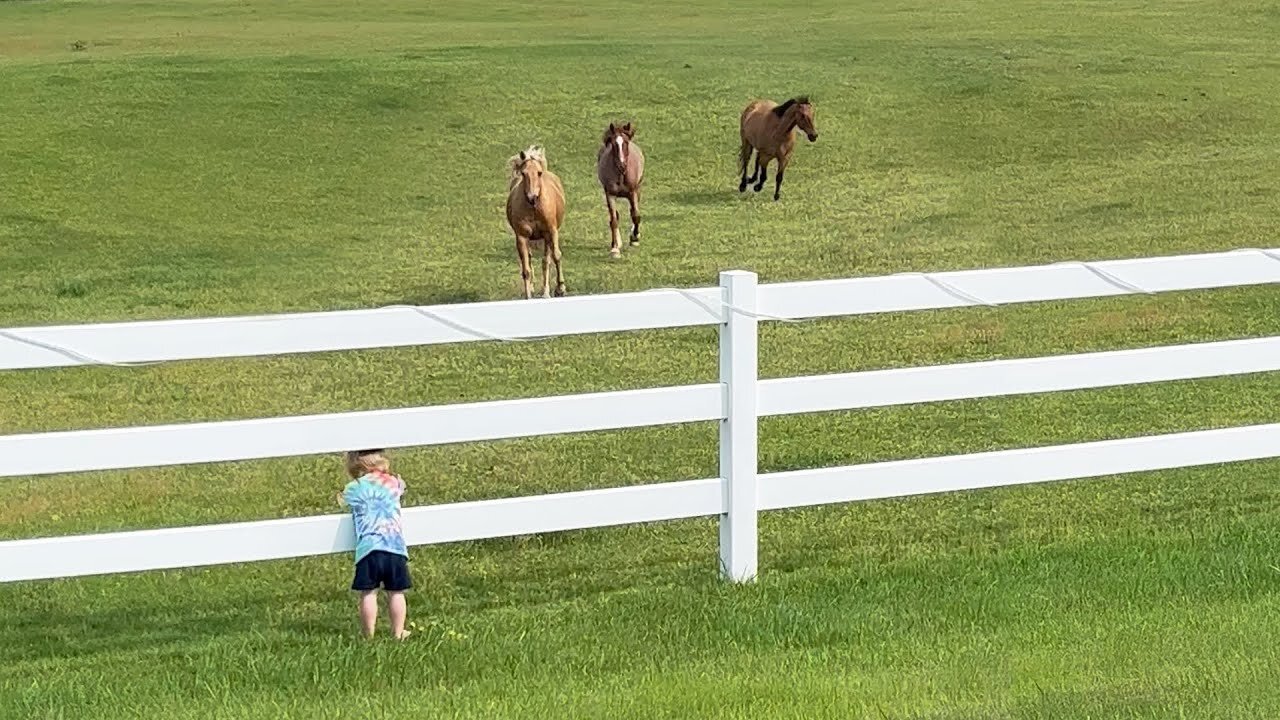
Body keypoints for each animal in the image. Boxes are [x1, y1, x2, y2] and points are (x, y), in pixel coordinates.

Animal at [504, 146, 565, 297]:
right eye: (524, 173)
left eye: (539, 173)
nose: (532, 197)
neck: (534, 209)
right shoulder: (521, 237)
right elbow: (526, 270)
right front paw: (528, 295)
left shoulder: (551, 232)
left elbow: (555, 256)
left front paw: (560, 288)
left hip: (547, 237)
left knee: (546, 260)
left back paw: (546, 291)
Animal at [593, 121, 645, 257]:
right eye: (613, 144)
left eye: (626, 142)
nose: (622, 165)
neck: (621, 174)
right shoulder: (610, 194)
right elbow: (614, 220)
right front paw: (615, 248)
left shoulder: (632, 192)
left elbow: (636, 215)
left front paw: (635, 238)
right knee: (615, 216)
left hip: (638, 190)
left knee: (633, 211)